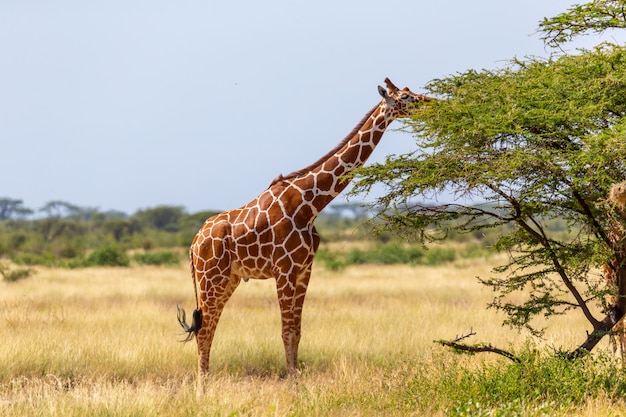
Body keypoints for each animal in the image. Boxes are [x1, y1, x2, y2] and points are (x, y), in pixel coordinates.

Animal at [176, 79, 428, 394]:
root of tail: (193, 243)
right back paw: (202, 389)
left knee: (208, 327)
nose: (431, 102)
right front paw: (292, 387)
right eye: (406, 97)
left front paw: (297, 383)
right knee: (204, 329)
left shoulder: (304, 269)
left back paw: (206, 384)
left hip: (228, 278)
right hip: (211, 277)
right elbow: (285, 331)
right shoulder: (283, 269)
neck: (310, 203)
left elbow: (297, 331)